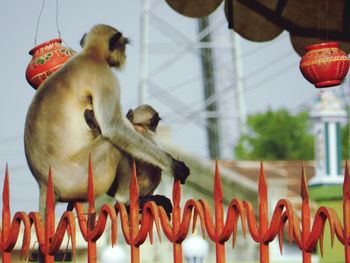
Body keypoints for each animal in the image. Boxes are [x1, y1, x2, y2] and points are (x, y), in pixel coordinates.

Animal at [23, 24, 189, 219]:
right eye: (123, 45)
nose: (124, 56)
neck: (91, 54)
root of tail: (43, 184)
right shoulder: (105, 77)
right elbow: (113, 128)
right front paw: (174, 165)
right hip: (83, 177)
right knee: (115, 144)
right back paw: (127, 200)